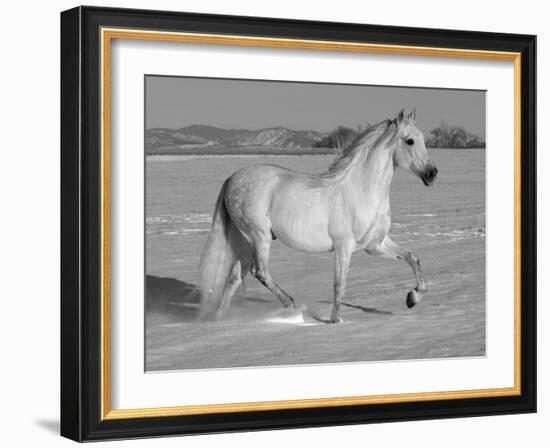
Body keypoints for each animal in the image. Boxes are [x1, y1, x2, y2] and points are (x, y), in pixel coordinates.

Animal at [198, 110, 440, 324]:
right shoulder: (344, 246)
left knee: (234, 278)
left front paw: (413, 297)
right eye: (409, 141)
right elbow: (339, 284)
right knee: (260, 272)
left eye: (423, 138)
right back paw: (291, 305)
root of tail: (231, 179)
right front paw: (335, 321)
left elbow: (412, 257)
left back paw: (219, 322)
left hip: (245, 241)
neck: (362, 190)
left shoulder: (375, 245)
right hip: (259, 236)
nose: (432, 174)